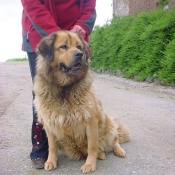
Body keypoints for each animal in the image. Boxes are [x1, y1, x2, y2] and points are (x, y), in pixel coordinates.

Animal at [33, 30, 130, 173]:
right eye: (64, 46)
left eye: (78, 47)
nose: (80, 54)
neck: (65, 87)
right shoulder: (49, 123)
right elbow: (52, 147)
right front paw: (51, 161)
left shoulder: (91, 121)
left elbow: (92, 146)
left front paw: (90, 164)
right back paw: (101, 154)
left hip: (109, 125)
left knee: (114, 140)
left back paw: (118, 151)